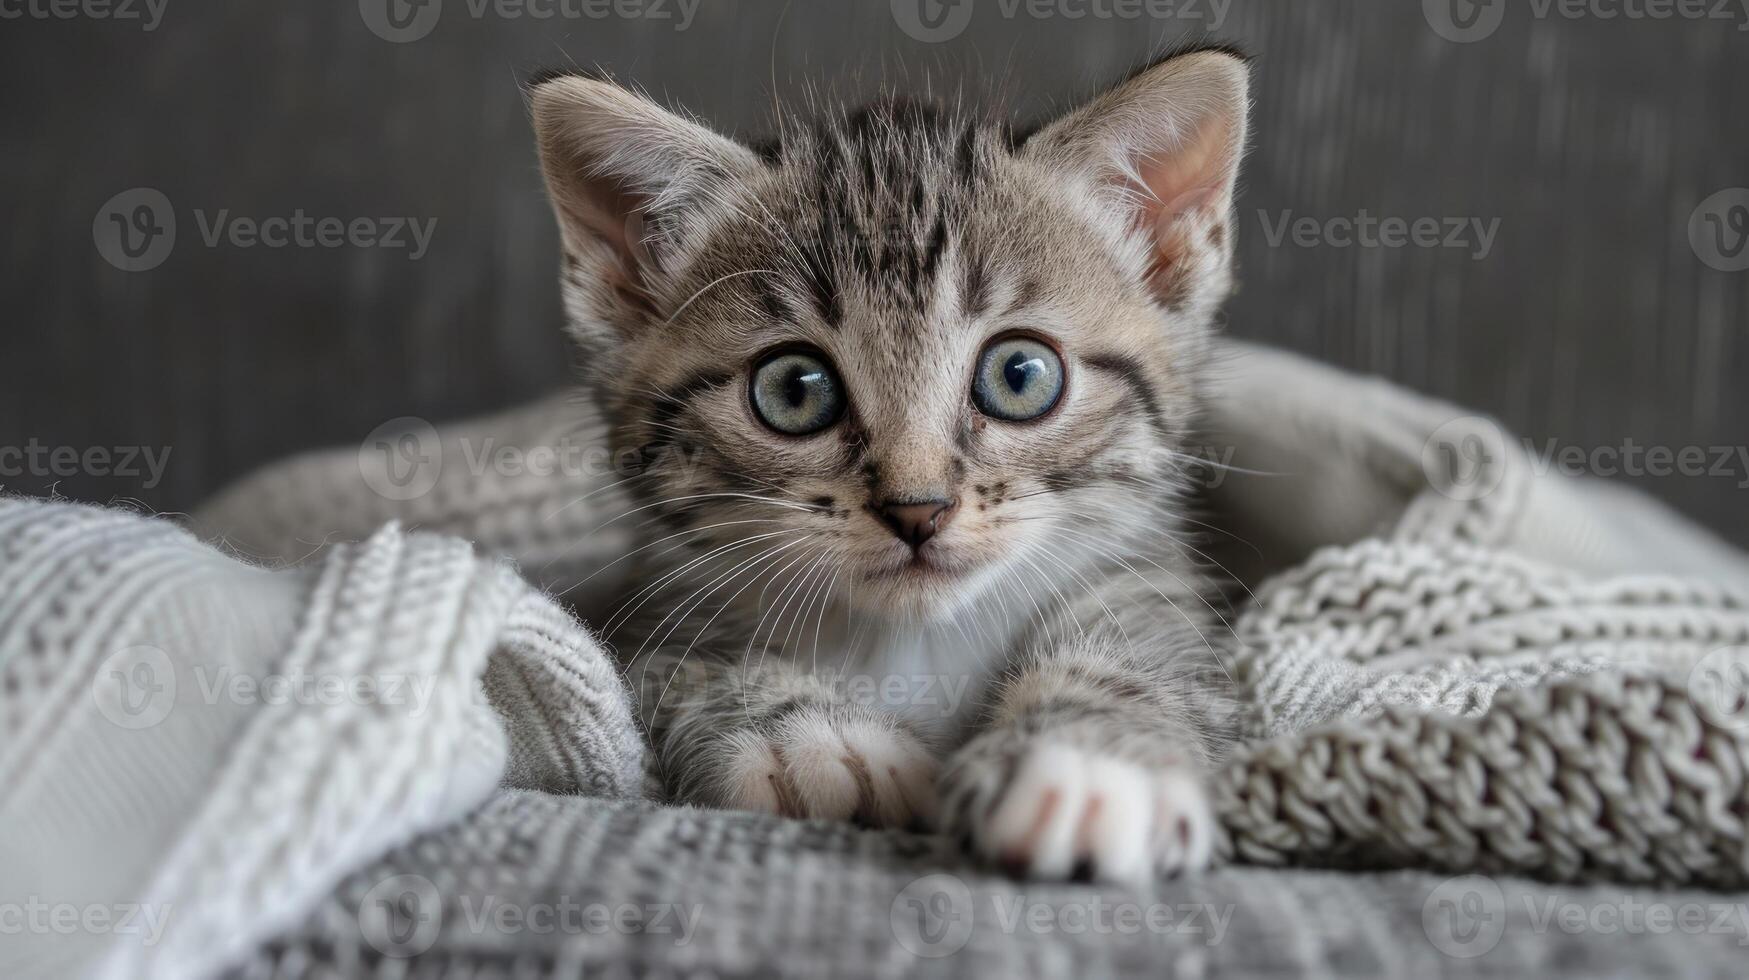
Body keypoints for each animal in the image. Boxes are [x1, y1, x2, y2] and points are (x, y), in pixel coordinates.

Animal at [524, 45, 1252, 885]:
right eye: (794, 390)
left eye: (1020, 376)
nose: (917, 509)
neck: (913, 644)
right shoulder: (648, 620)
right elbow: (679, 670)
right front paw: (810, 736)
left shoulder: (1154, 595)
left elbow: (1144, 657)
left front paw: (1085, 758)